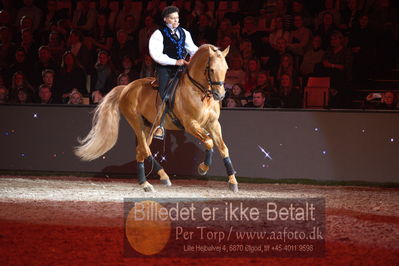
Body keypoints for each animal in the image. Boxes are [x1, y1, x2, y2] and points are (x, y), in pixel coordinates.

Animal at [74, 44, 238, 192]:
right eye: (212, 69)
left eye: (226, 69)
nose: (220, 95)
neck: (198, 92)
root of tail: (126, 88)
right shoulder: (190, 124)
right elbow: (209, 142)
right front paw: (203, 168)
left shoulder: (213, 124)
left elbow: (223, 148)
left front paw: (232, 182)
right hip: (137, 123)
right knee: (145, 149)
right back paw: (163, 177)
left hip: (149, 127)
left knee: (140, 150)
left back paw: (145, 184)